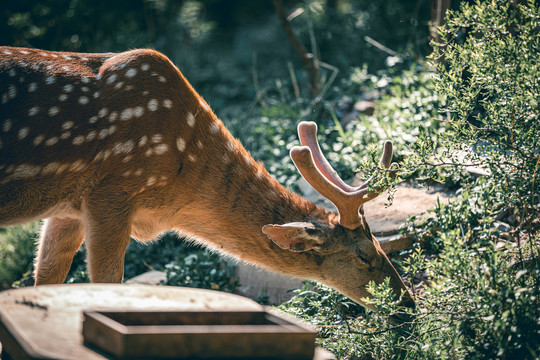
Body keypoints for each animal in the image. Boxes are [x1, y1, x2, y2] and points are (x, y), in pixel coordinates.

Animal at [0, 47, 414, 318]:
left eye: (381, 243)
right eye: (365, 255)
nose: (408, 302)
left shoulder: (67, 207)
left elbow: (44, 282)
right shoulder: (113, 191)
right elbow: (106, 286)